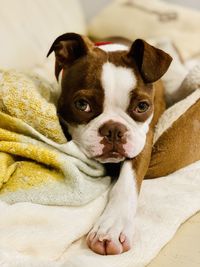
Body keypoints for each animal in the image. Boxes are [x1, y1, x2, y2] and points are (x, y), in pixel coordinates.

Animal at [47, 33, 172, 255]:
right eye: (82, 105)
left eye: (142, 107)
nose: (114, 130)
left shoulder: (143, 141)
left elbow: (127, 182)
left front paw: (112, 227)